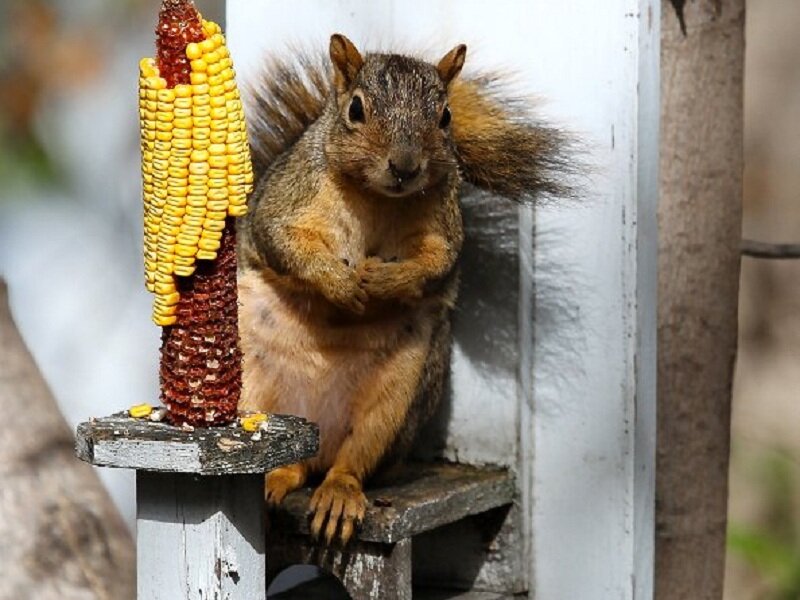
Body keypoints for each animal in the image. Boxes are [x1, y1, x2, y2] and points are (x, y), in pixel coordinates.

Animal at [237, 33, 569, 545]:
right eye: (356, 109)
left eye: (446, 116)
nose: (406, 167)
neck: (376, 197)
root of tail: (315, 438)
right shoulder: (287, 199)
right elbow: (282, 241)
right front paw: (340, 283)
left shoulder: (442, 226)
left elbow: (437, 262)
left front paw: (384, 279)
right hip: (249, 381)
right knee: (286, 461)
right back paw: (275, 479)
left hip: (400, 390)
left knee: (352, 461)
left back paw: (338, 494)